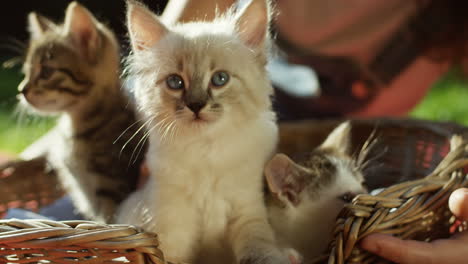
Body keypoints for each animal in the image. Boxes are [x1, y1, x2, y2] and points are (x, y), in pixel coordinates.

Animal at [117, 0, 292, 264]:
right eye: (175, 82)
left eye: (220, 79)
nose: (196, 106)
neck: (205, 150)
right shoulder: (168, 223)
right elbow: (166, 253)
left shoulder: (248, 211)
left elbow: (260, 250)